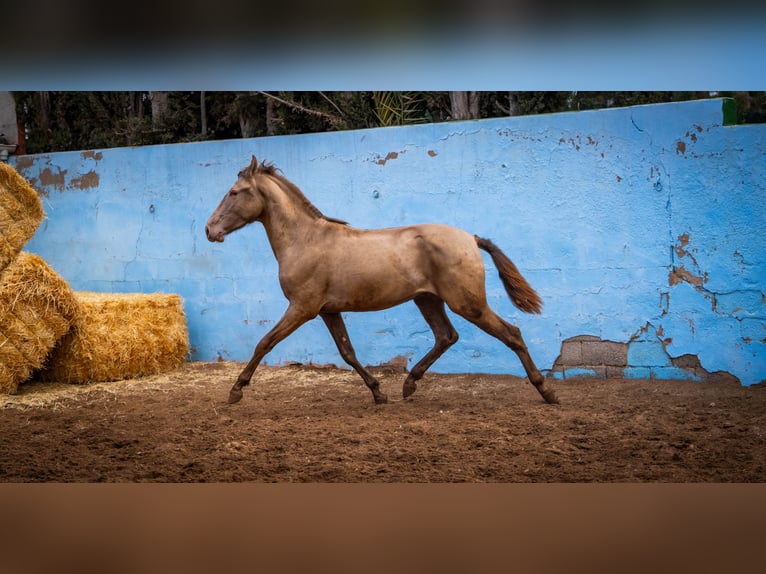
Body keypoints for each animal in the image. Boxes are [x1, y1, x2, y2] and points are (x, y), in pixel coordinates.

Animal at [207, 155, 560, 408]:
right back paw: (409, 384)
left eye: (234, 193)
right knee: (446, 336)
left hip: (467, 303)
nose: (210, 230)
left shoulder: (302, 308)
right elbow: (347, 352)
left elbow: (264, 342)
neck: (305, 240)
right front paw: (378, 393)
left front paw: (236, 390)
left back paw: (547, 392)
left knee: (511, 334)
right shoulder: (328, 310)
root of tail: (471, 239)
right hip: (427, 299)